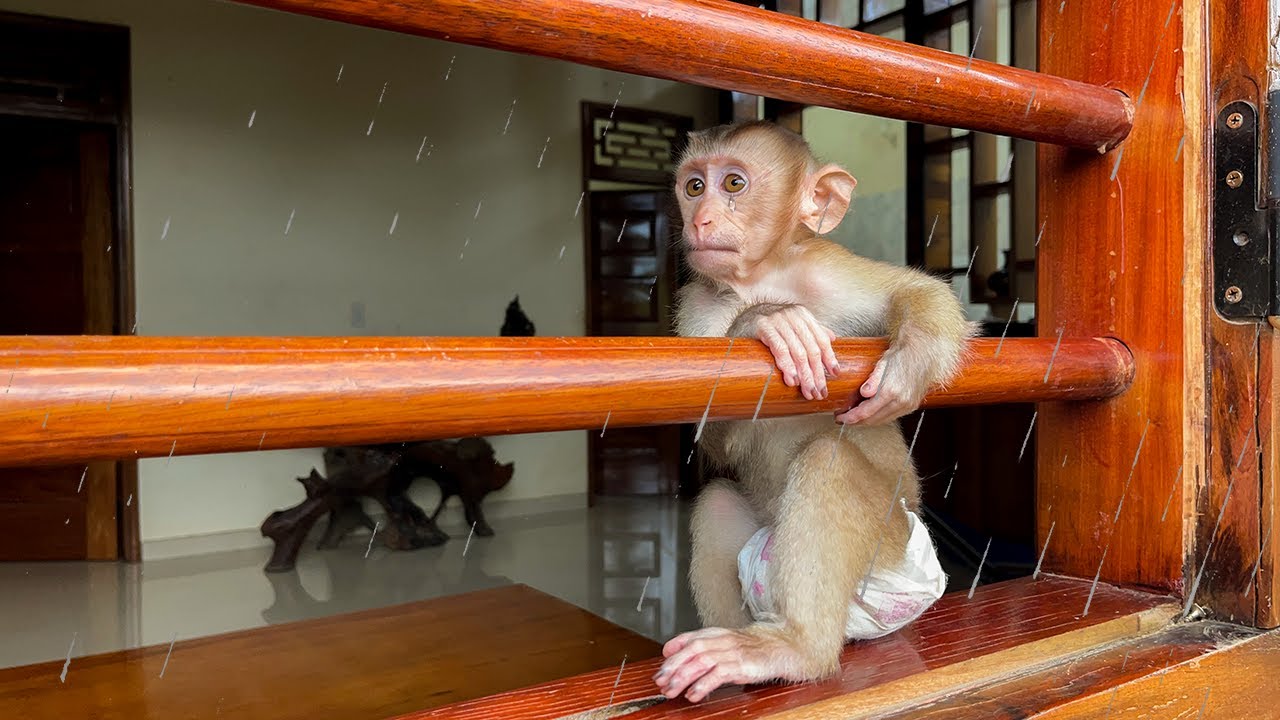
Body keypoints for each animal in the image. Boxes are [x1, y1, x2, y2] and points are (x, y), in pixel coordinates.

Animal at [653, 121, 974, 703]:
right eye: (693, 186)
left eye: (733, 183)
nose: (699, 218)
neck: (764, 275)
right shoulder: (699, 306)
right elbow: (710, 431)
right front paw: (765, 321)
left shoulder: (825, 267)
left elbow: (914, 288)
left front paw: (911, 361)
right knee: (717, 503)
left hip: (894, 554)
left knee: (829, 461)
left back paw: (796, 649)